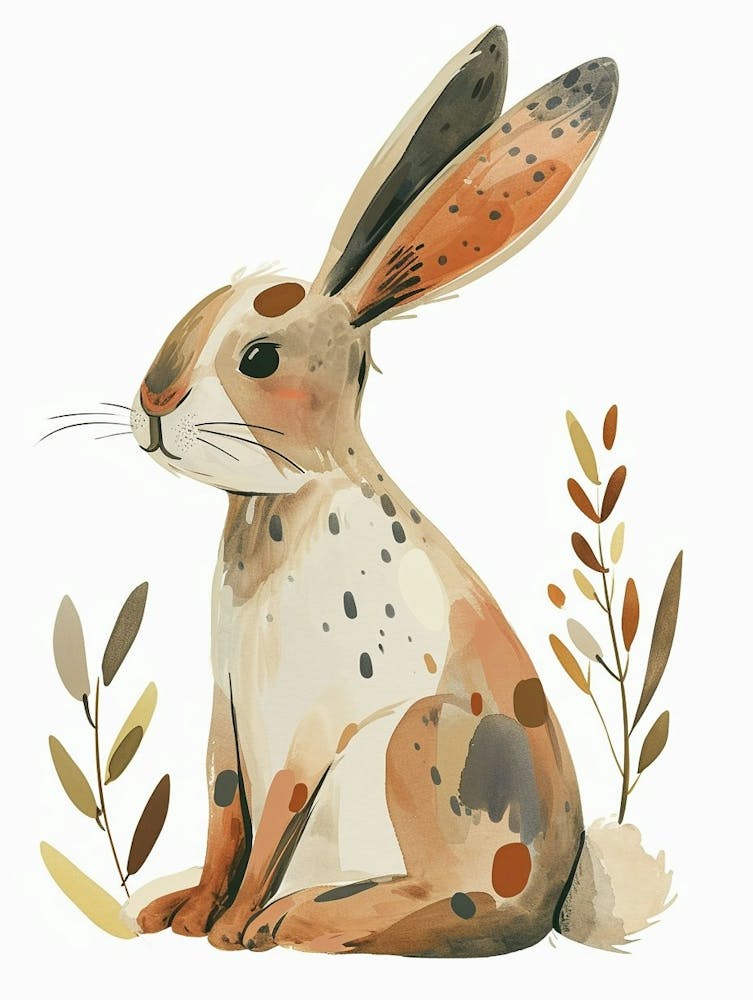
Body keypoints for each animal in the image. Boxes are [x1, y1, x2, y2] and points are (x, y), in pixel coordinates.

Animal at [121, 26, 668, 956]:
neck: (283, 503)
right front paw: (184, 917)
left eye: (259, 358)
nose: (154, 402)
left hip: (424, 741)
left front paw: (226, 932)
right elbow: (224, 816)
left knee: (452, 904)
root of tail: (559, 899)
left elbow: (271, 819)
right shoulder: (226, 714)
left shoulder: (310, 722)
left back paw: (296, 919)